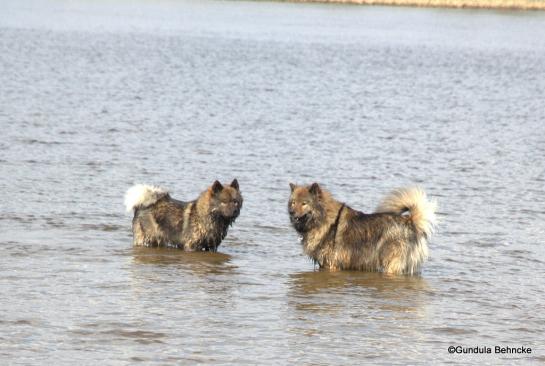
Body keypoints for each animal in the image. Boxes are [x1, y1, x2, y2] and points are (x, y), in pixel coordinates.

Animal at [286, 183, 436, 274]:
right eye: (293, 202)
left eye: (304, 203)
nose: (291, 212)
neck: (322, 218)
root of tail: (410, 221)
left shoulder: (331, 264)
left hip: (391, 263)